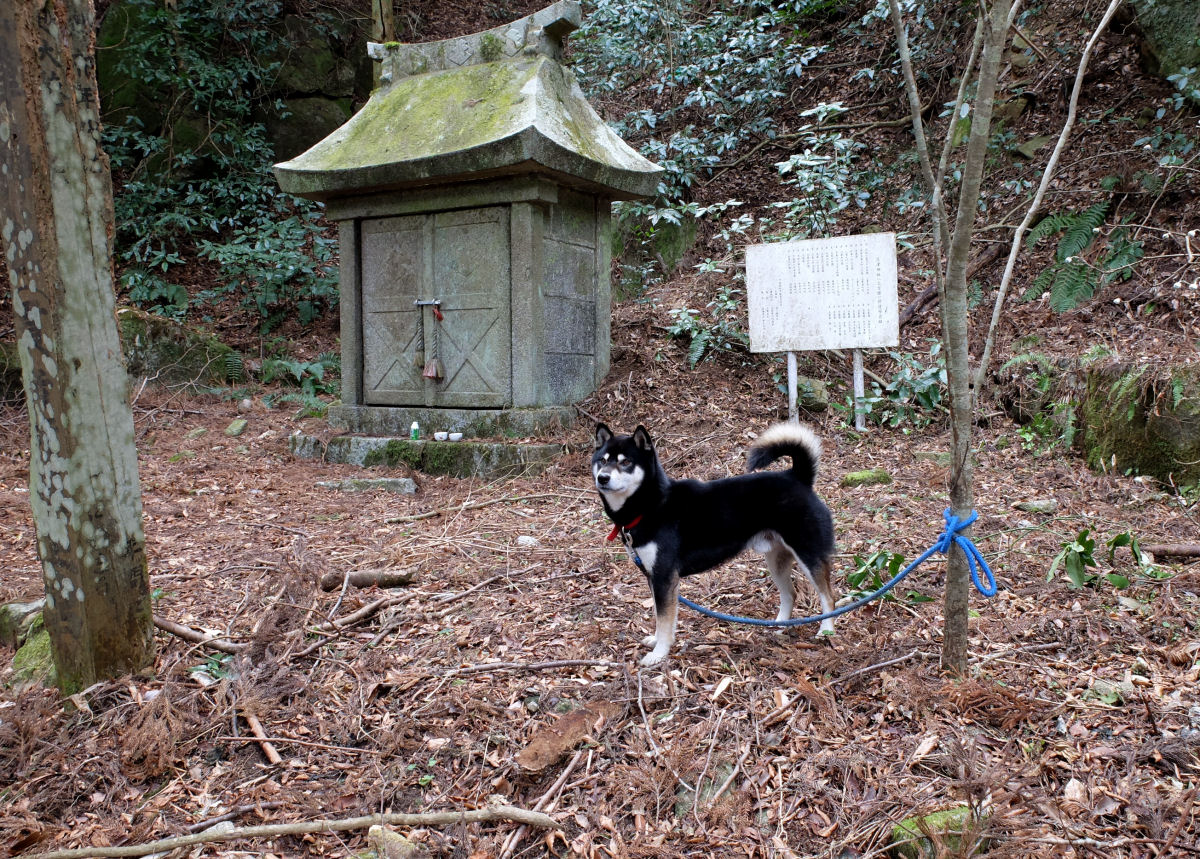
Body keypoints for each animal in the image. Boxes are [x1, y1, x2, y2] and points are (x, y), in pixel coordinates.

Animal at [592, 421, 837, 666]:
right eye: (602, 460)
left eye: (626, 462)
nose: (602, 478)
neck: (651, 505)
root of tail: (798, 477)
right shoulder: (654, 577)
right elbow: (661, 615)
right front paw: (657, 640)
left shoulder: (664, 576)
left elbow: (664, 619)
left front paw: (658, 653)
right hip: (776, 560)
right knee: (790, 594)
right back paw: (778, 626)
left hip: (808, 555)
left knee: (829, 599)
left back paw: (826, 630)